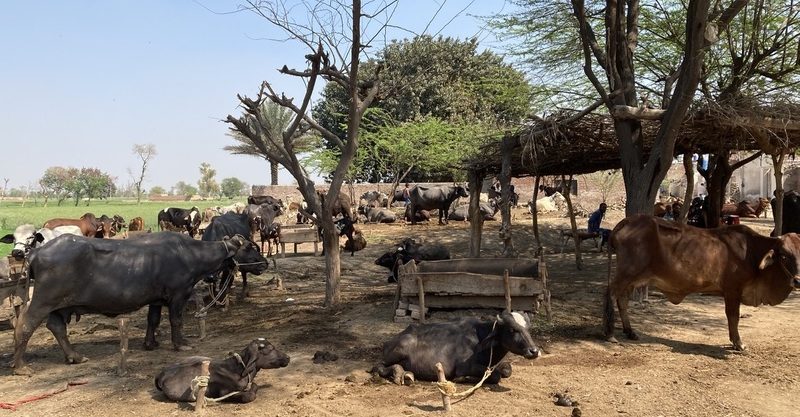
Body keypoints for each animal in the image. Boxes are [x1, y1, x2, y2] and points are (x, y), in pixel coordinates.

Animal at [155, 336, 290, 402]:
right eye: (271, 349)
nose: (288, 357)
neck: (238, 369)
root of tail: (161, 374)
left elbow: (255, 385)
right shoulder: (224, 392)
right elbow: (249, 396)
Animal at [374, 308, 536, 384]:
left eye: (528, 329)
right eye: (512, 329)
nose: (534, 351)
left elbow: (507, 370)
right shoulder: (464, 367)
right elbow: (496, 376)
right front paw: (463, 378)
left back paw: (407, 374)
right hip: (398, 350)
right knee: (379, 366)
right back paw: (398, 373)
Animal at [608, 216, 800, 350]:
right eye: (784, 255)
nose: (798, 280)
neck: (752, 252)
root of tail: (627, 221)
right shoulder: (733, 290)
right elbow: (733, 316)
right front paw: (738, 343)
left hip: (632, 279)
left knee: (622, 299)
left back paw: (629, 331)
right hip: (626, 274)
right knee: (610, 294)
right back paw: (609, 334)